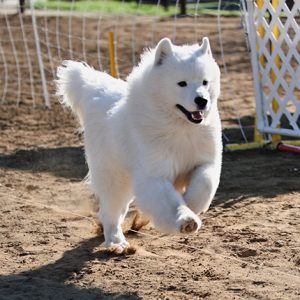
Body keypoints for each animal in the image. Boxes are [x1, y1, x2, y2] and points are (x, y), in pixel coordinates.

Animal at [56, 37, 221, 253]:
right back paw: (116, 243)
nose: (202, 100)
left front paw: (191, 204)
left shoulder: (205, 162)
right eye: (182, 83)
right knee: (110, 214)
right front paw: (185, 220)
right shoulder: (153, 176)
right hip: (115, 180)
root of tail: (100, 95)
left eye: (204, 82)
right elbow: (169, 202)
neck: (180, 127)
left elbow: (204, 185)